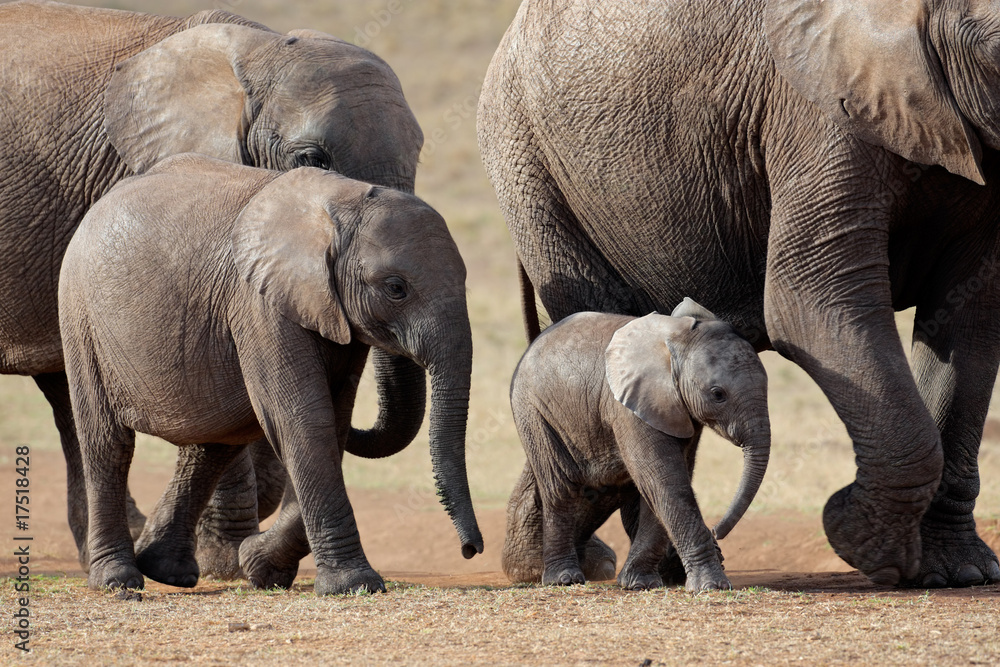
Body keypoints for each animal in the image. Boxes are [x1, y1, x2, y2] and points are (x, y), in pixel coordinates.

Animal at [56, 153, 483, 594]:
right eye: (396, 288)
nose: (471, 550)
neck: (338, 204)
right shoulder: (259, 304)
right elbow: (303, 421)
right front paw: (353, 585)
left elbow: (332, 422)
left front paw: (259, 565)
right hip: (79, 314)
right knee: (108, 444)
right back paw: (118, 580)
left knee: (212, 444)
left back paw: (165, 569)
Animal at [505, 298, 770, 591]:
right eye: (717, 394)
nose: (717, 531)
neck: (677, 338)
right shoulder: (628, 406)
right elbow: (664, 479)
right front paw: (711, 586)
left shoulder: (677, 409)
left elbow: (663, 482)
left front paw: (638, 583)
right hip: (534, 411)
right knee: (560, 488)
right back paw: (564, 578)